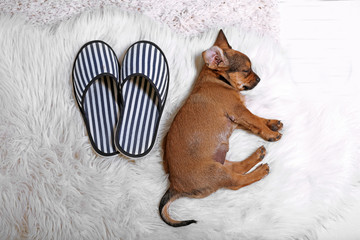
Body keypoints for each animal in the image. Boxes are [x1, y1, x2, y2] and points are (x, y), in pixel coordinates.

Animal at [160, 29, 282, 227]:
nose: (259, 78)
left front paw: (272, 123)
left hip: (219, 162)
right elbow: (255, 121)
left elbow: (257, 121)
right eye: (246, 70)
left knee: (237, 167)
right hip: (217, 172)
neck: (217, 80)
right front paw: (271, 133)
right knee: (238, 181)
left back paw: (257, 155)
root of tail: (174, 187)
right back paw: (260, 170)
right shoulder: (239, 111)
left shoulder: (239, 118)